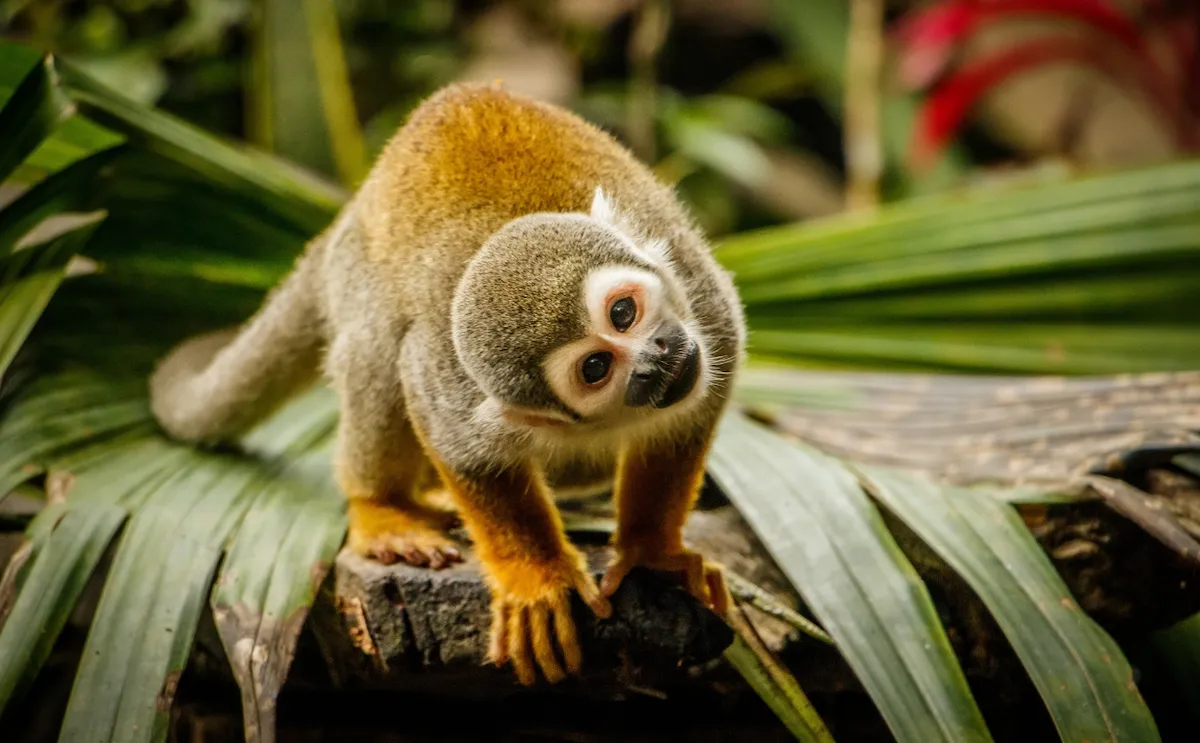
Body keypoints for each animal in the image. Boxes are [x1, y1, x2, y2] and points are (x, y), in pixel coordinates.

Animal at [148, 81, 747, 686]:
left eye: (623, 313)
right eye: (596, 368)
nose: (656, 357)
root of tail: (347, 215)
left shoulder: (703, 304)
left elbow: (688, 417)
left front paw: (651, 549)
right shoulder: (451, 382)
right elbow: (464, 449)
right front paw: (536, 579)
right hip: (356, 276)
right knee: (378, 350)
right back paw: (382, 507)